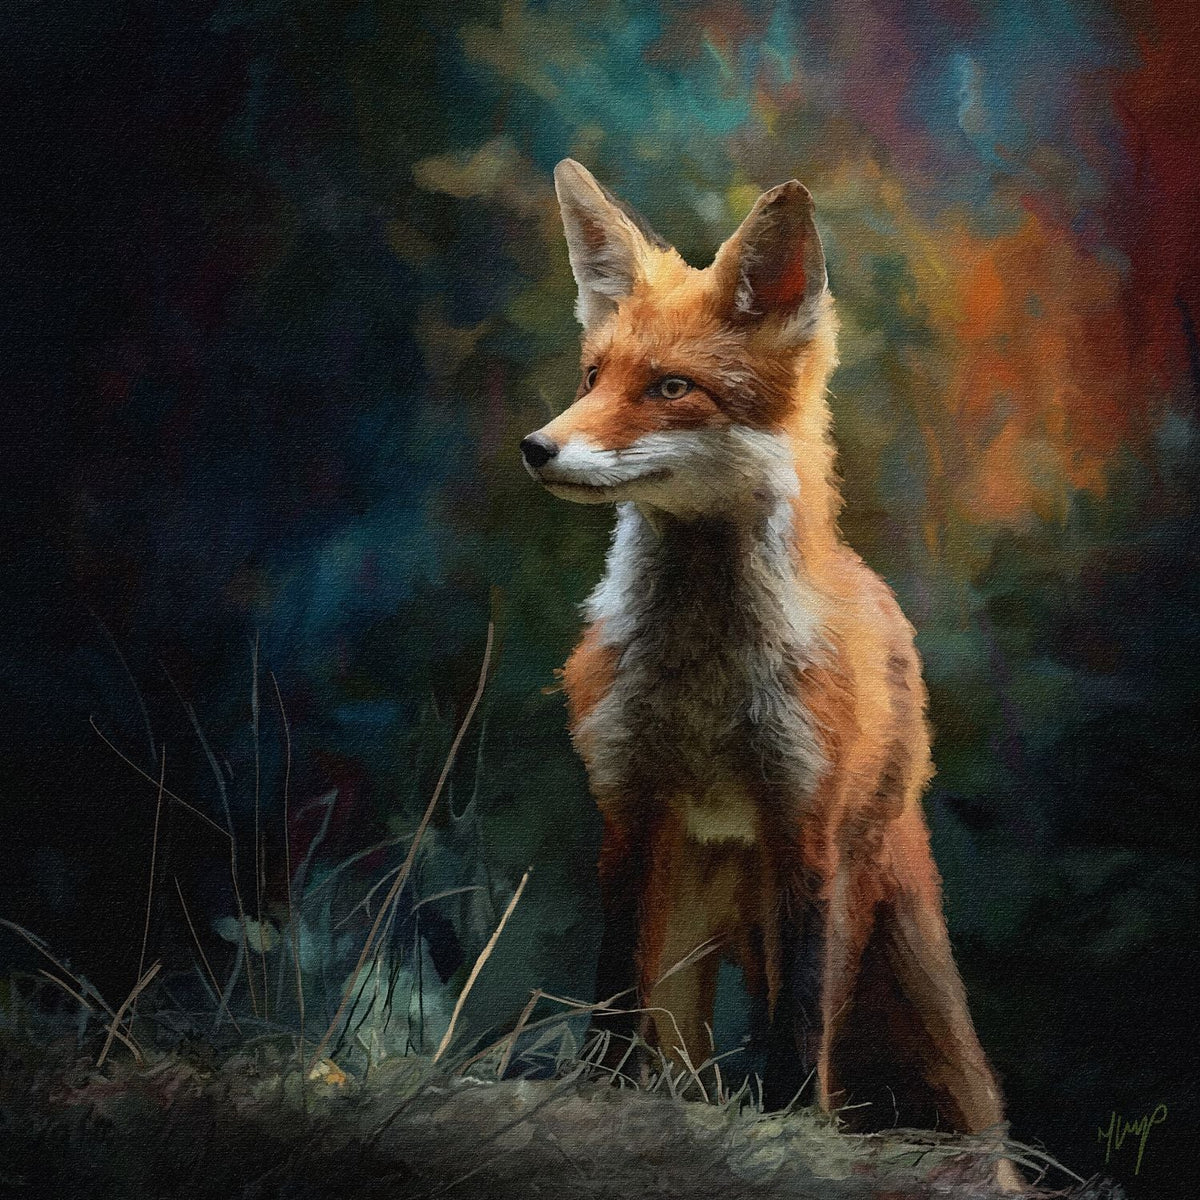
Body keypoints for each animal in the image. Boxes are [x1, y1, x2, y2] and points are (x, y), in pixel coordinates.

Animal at [522, 158, 1021, 1189]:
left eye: (672, 387)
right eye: (592, 376)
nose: (537, 446)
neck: (704, 686)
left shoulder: (805, 824)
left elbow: (799, 1019)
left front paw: (793, 1128)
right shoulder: (630, 811)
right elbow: (612, 986)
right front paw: (601, 1100)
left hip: (870, 903)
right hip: (696, 904)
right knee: (678, 1030)